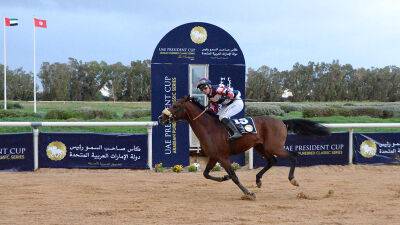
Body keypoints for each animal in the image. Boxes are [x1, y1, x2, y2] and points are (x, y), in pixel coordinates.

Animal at [158, 96, 330, 200]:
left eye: (175, 106)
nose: (161, 117)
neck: (209, 128)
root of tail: (282, 121)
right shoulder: (214, 156)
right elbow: (206, 174)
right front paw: (223, 178)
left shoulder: (223, 157)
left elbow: (234, 176)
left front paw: (248, 193)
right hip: (261, 147)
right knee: (272, 161)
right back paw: (258, 180)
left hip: (274, 146)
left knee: (293, 155)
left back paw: (292, 180)